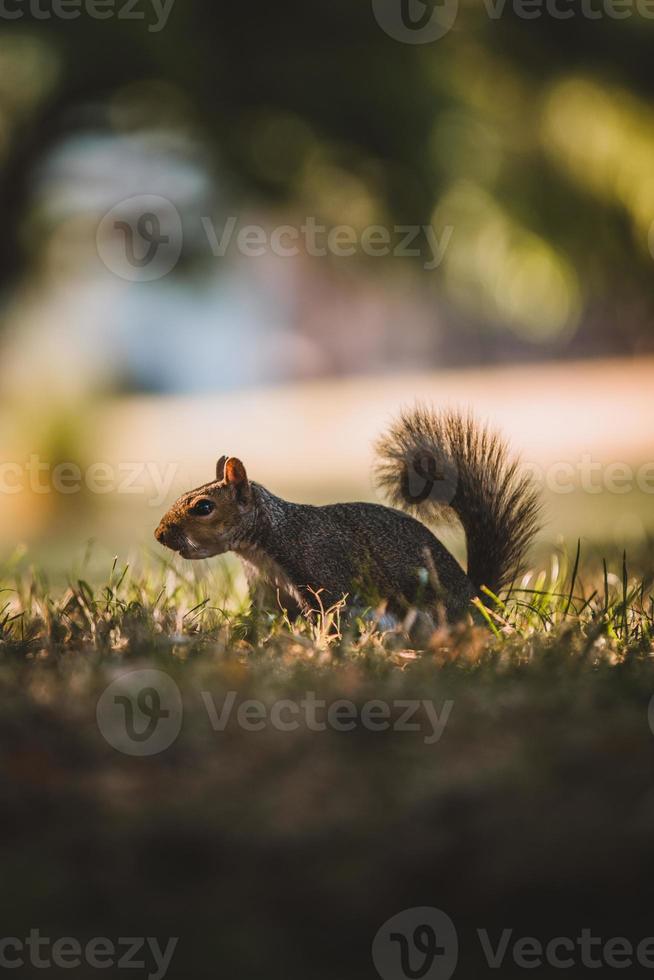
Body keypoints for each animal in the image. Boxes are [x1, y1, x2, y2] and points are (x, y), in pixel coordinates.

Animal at [156, 408, 540, 624]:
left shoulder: (323, 572)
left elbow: (330, 614)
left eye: (203, 507)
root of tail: (480, 603)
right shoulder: (268, 591)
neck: (265, 543)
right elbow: (267, 620)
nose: (160, 535)